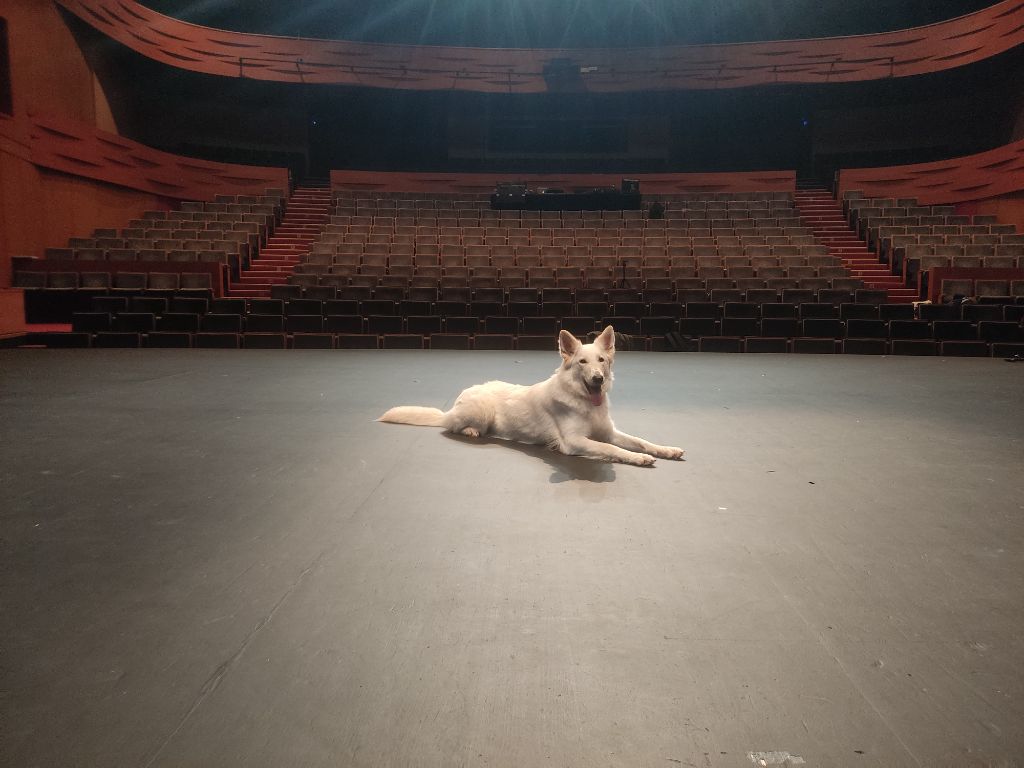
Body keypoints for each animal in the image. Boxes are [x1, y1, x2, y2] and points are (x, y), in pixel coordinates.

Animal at [374, 325, 679, 468]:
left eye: (601, 361)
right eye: (582, 362)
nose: (598, 379)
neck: (583, 402)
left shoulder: (609, 432)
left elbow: (639, 441)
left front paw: (666, 450)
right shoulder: (574, 442)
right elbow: (611, 449)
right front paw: (639, 459)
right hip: (481, 411)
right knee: (452, 427)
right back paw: (470, 430)